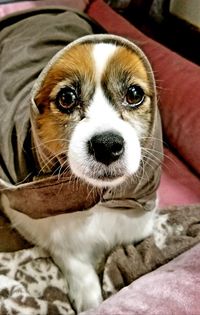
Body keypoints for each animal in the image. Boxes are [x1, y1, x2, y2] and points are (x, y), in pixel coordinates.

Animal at [1, 34, 165, 314]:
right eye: (67, 97)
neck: (100, 203)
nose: (107, 145)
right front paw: (89, 296)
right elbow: (69, 254)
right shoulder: (28, 217)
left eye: (134, 94)